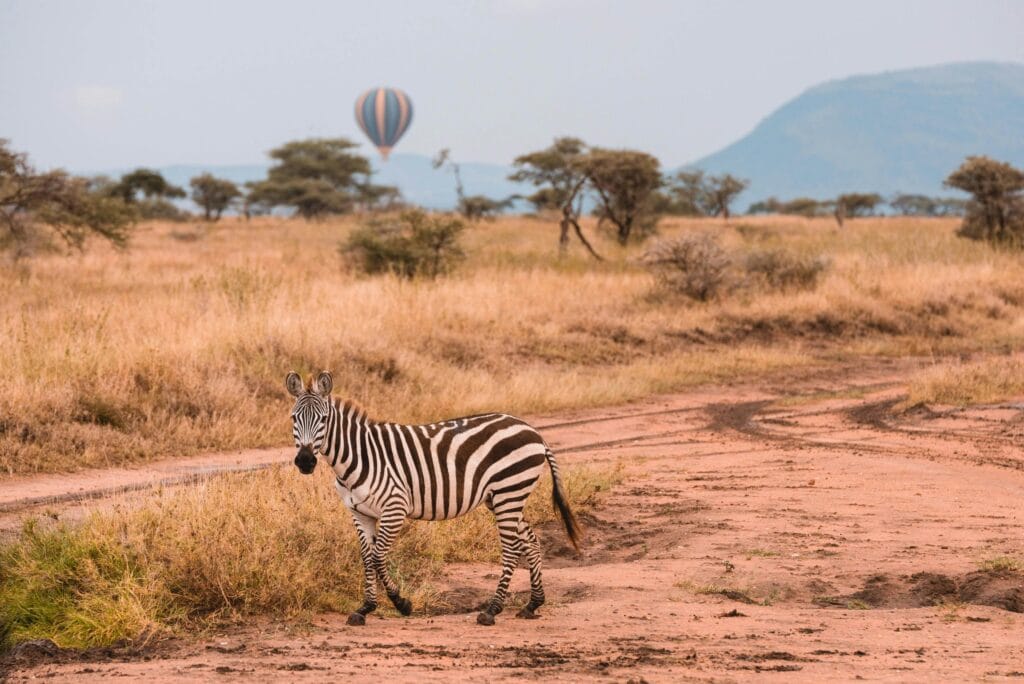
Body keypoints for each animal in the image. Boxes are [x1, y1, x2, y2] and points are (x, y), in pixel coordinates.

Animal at [286, 370, 581, 627]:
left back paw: (492, 610)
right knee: (531, 540)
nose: (305, 461)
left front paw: (401, 603)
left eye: (323, 419)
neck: (358, 456)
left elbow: (378, 556)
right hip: (503, 497)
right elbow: (367, 557)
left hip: (510, 492)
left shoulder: (395, 507)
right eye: (293, 418)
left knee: (511, 549)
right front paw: (365, 608)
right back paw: (533, 604)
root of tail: (534, 432)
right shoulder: (360, 512)